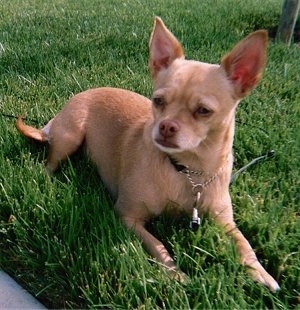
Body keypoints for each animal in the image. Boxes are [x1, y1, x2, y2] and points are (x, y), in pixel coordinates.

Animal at [16, 17, 278, 294]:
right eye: (158, 101)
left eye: (203, 111)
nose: (166, 126)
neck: (187, 170)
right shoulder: (128, 216)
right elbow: (158, 245)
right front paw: (176, 275)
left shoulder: (225, 221)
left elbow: (244, 244)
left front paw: (261, 273)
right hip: (71, 135)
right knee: (49, 163)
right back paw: (49, 180)